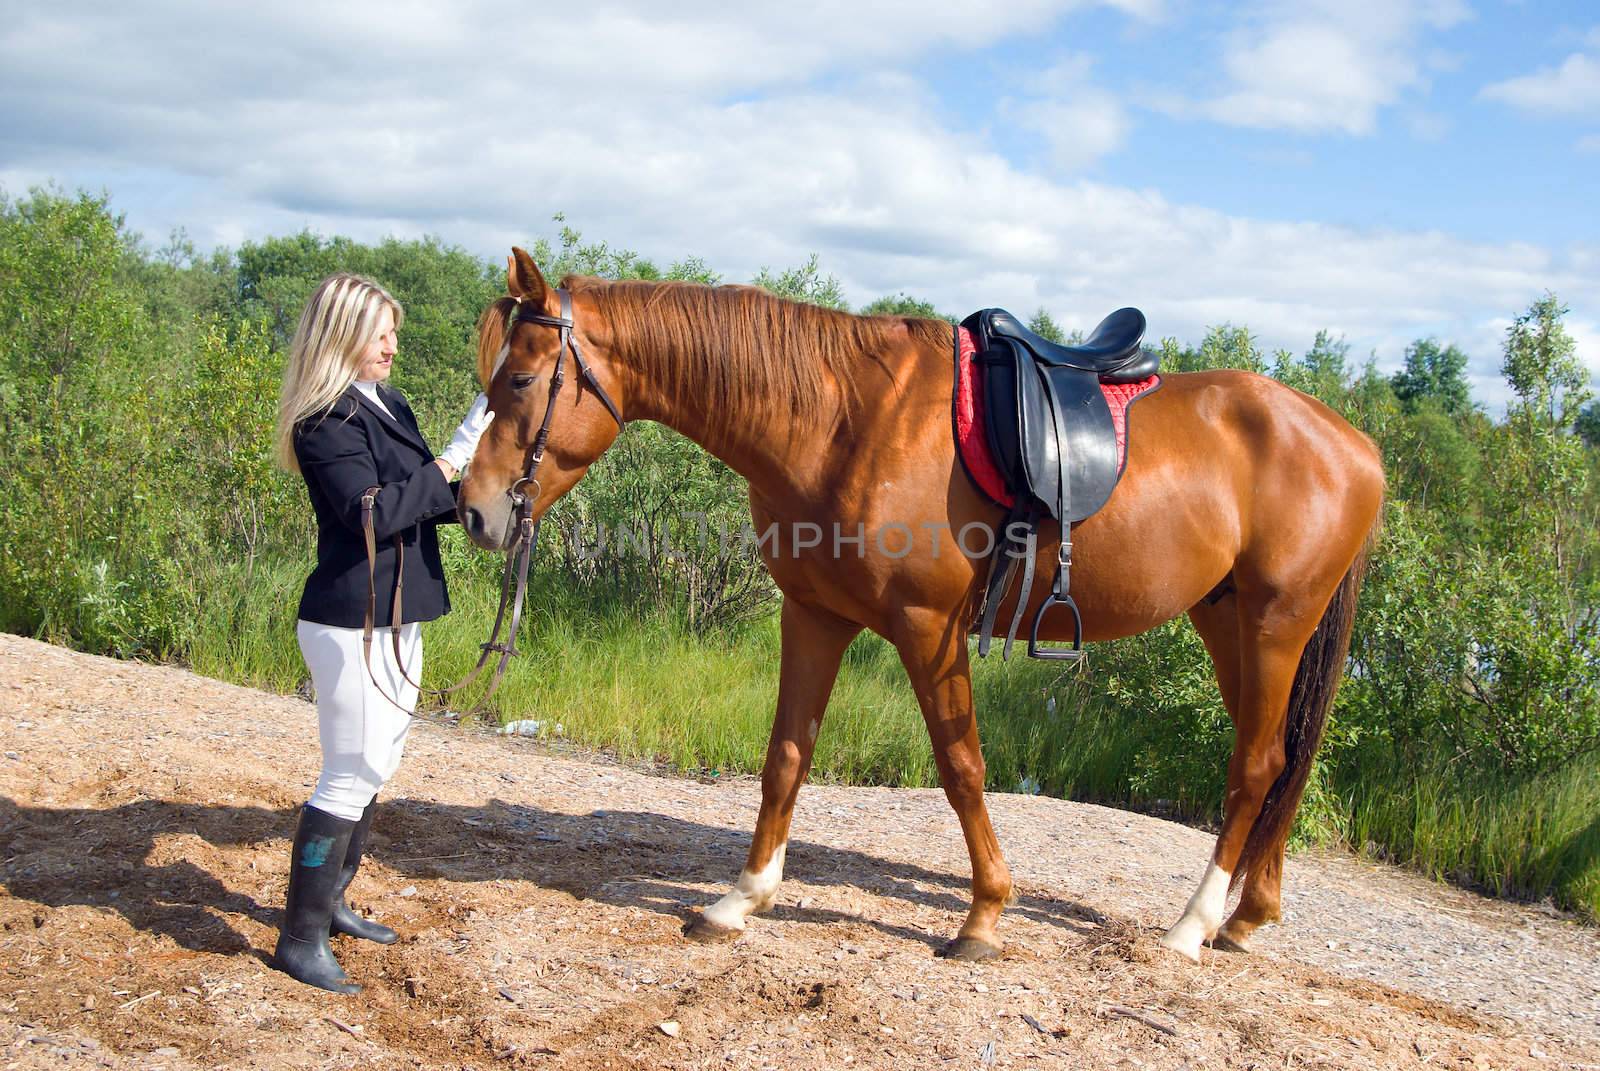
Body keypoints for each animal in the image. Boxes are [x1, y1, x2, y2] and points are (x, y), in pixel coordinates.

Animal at [457, 251, 1382, 960]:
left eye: (521, 377)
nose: (473, 509)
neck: (841, 421)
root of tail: (1355, 443)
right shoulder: (813, 615)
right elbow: (786, 755)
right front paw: (741, 897)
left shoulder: (929, 629)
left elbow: (961, 763)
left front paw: (984, 915)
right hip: (1229, 624)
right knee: (1279, 761)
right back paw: (1246, 917)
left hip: (1274, 625)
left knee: (1255, 766)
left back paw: (1191, 926)